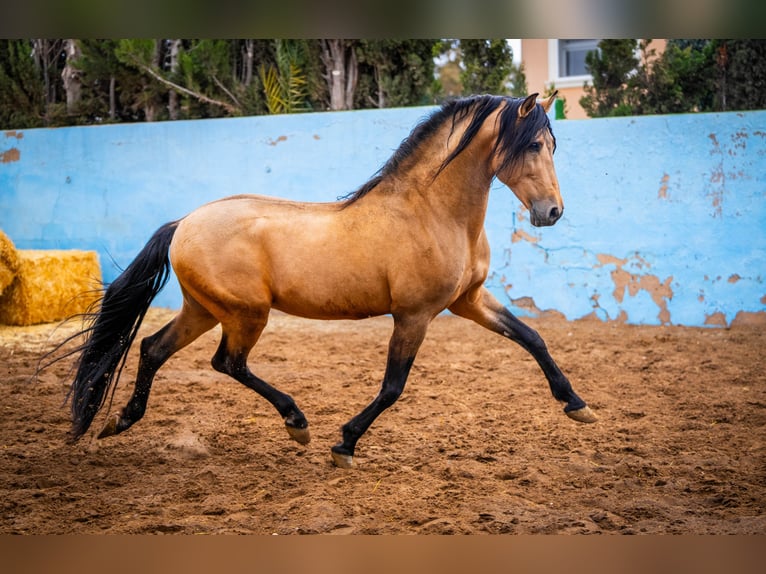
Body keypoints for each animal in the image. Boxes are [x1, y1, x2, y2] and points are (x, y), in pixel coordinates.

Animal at [63, 92, 596, 470]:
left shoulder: (468, 300)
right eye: (533, 144)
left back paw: (119, 421)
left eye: (551, 145)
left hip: (203, 310)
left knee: (152, 348)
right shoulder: (415, 315)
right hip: (245, 313)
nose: (552, 212)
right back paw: (297, 423)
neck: (431, 211)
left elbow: (532, 337)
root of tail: (183, 224)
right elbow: (393, 387)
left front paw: (578, 406)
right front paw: (344, 445)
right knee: (227, 362)